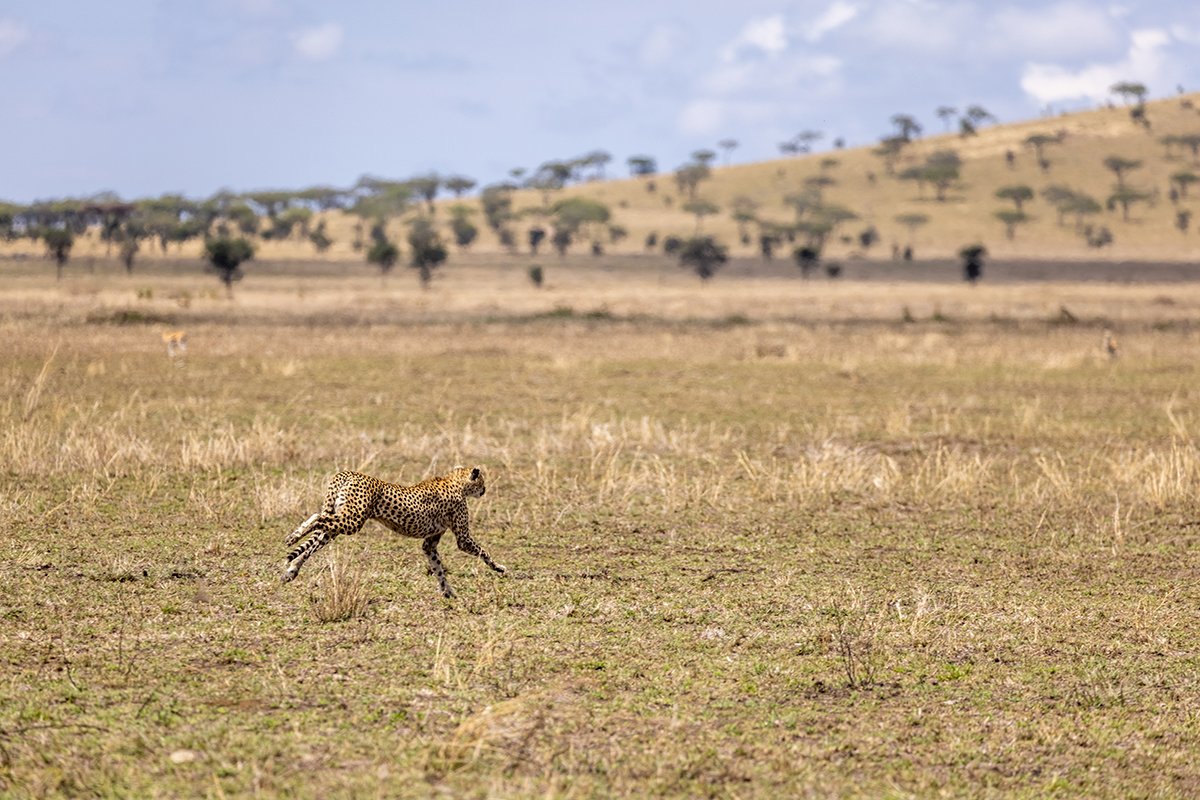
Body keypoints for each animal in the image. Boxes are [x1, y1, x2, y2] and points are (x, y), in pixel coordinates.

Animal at [281, 465, 505, 598]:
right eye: (482, 481)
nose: (484, 490)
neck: (456, 482)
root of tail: (348, 472)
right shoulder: (463, 538)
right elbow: (483, 552)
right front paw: (499, 567)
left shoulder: (429, 543)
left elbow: (438, 568)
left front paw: (448, 592)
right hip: (352, 521)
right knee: (317, 517)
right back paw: (293, 538)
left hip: (341, 522)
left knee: (316, 536)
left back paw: (291, 568)